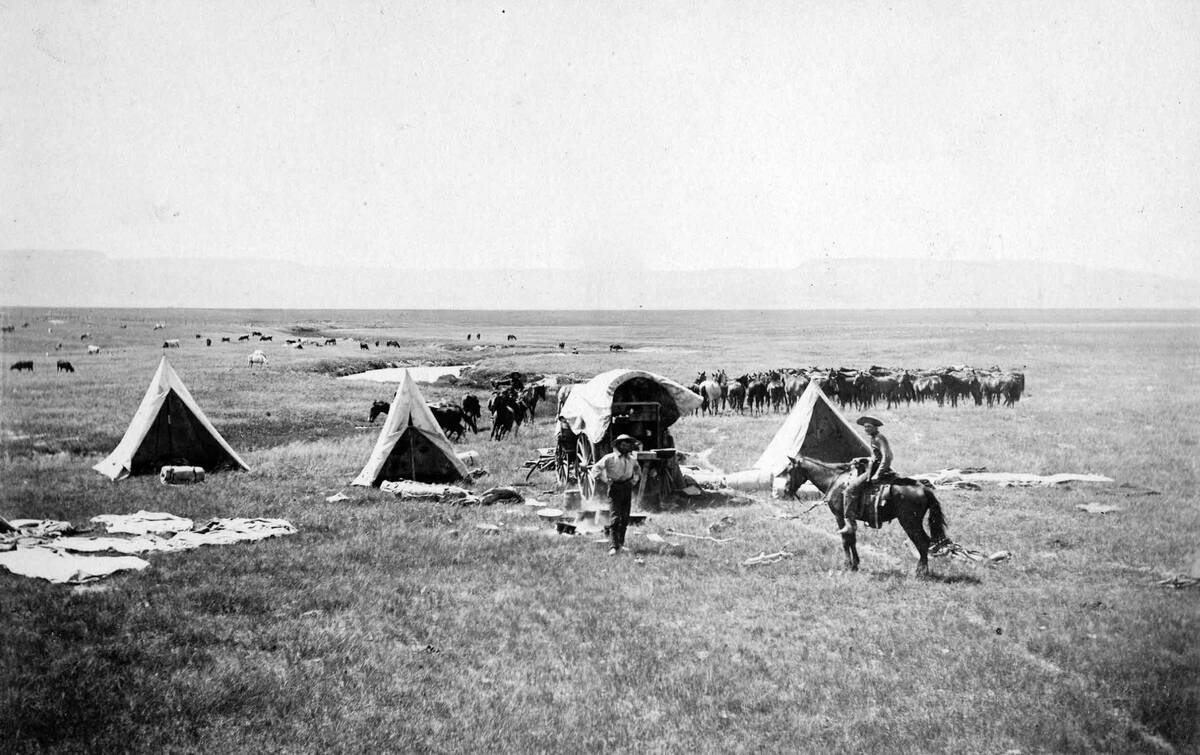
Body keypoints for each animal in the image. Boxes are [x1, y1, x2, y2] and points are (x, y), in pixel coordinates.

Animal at [782, 456, 950, 573]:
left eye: (789, 471)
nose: (785, 491)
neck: (835, 481)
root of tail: (924, 488)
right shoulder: (850, 519)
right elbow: (852, 540)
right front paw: (855, 564)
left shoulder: (840, 516)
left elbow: (845, 540)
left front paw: (847, 565)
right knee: (925, 542)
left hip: (909, 522)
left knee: (922, 543)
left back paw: (921, 572)